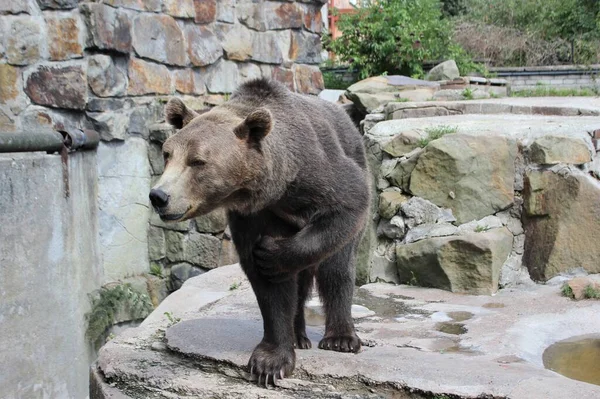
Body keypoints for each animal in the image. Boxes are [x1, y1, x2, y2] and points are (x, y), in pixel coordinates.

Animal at [150, 79, 370, 388]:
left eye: (197, 161)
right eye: (167, 154)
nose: (159, 196)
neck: (276, 188)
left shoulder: (319, 175)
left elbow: (348, 202)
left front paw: (271, 255)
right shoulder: (252, 215)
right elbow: (271, 289)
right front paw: (271, 361)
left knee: (337, 268)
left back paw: (341, 338)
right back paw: (299, 336)